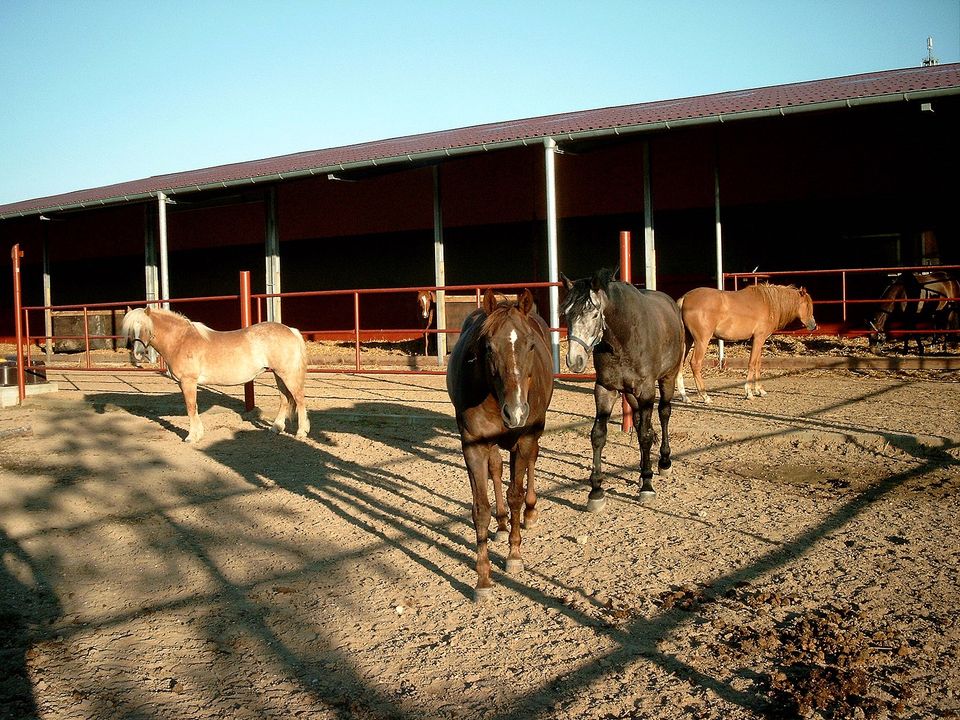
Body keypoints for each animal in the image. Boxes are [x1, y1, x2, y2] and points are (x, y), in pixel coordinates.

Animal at [118, 306, 310, 442]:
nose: (137, 354)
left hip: (287, 375)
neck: (181, 341)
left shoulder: (188, 382)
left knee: (299, 399)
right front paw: (197, 434)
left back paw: (301, 432)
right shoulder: (184, 383)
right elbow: (193, 407)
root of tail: (291, 330)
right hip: (279, 374)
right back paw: (276, 428)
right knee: (285, 399)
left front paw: (192, 436)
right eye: (130, 330)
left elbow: (191, 407)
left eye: (145, 328)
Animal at [444, 288, 552, 600]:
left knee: (531, 463)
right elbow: (481, 509)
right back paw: (502, 525)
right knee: (495, 470)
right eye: (488, 347)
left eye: (530, 345)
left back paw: (530, 512)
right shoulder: (474, 446)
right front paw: (482, 578)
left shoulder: (524, 439)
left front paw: (514, 556)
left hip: (532, 434)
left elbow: (515, 493)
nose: (515, 412)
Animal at [560, 268, 688, 510]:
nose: (574, 361)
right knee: (638, 423)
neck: (623, 338)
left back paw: (663, 462)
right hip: (630, 393)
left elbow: (646, 435)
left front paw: (647, 485)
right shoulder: (605, 389)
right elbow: (599, 435)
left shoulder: (646, 390)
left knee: (664, 413)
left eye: (594, 314)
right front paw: (596, 491)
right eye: (566, 314)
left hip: (667, 378)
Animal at [676, 282, 816, 404]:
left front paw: (760, 390)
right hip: (701, 340)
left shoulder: (758, 340)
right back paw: (705, 396)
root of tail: (685, 299)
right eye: (807, 305)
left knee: (680, 364)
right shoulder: (759, 338)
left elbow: (758, 364)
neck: (768, 303)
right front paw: (749, 392)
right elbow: (752, 363)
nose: (813, 325)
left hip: (687, 341)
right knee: (695, 364)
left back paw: (685, 397)